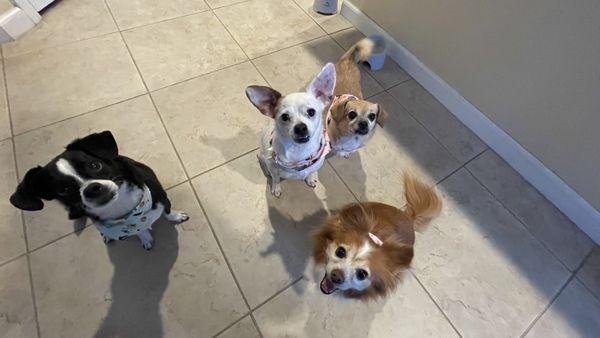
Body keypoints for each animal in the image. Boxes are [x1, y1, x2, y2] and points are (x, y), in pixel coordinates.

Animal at [10, 131, 189, 250]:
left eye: (94, 165)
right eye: (64, 189)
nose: (92, 189)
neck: (121, 208)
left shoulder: (162, 198)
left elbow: (167, 212)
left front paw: (176, 216)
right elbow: (140, 230)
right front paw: (145, 237)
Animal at [245, 62, 338, 198]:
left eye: (311, 112)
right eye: (284, 117)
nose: (300, 127)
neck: (299, 152)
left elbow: (311, 171)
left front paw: (310, 177)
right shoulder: (273, 167)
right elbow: (276, 178)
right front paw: (276, 187)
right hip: (262, 155)